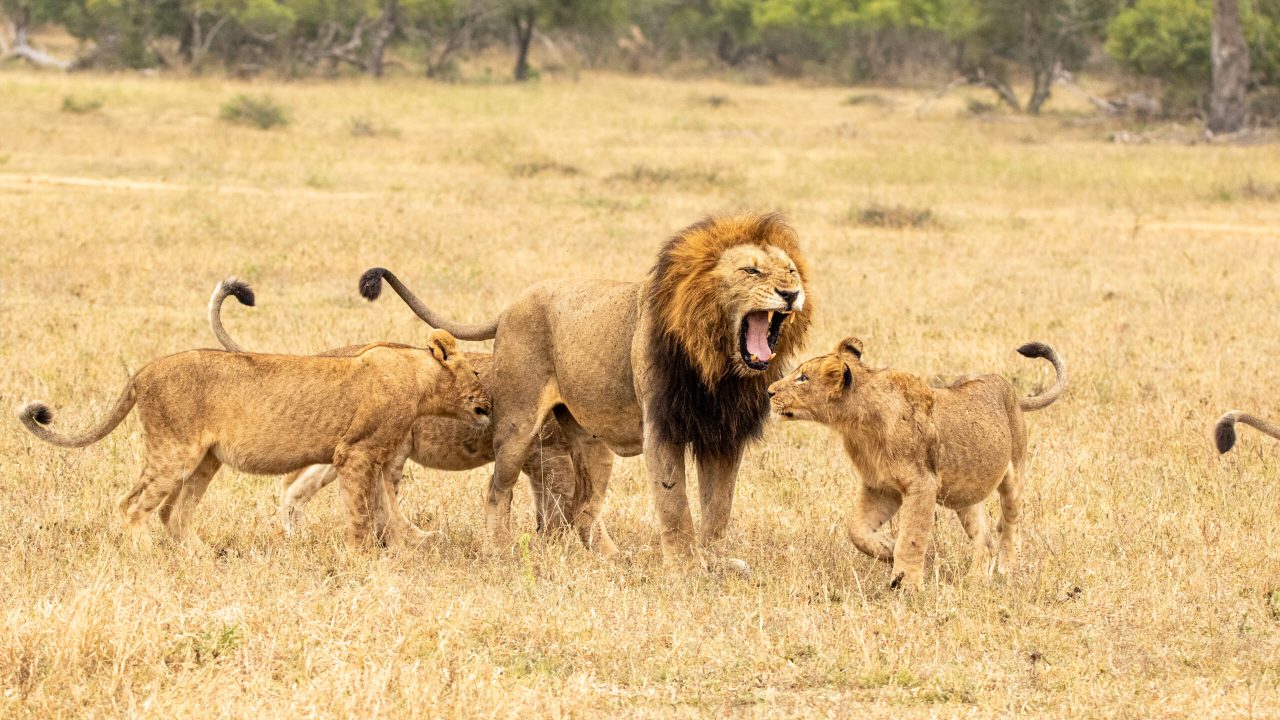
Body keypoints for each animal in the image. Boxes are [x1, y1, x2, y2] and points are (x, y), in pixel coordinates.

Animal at [17, 330, 490, 552]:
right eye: (478, 372)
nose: (492, 400)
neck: (419, 378)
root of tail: (142, 371)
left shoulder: (378, 457)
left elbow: (383, 508)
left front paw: (399, 547)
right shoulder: (355, 453)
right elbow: (361, 513)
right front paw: (363, 558)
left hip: (205, 459)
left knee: (174, 511)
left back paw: (200, 557)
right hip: (174, 450)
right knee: (132, 506)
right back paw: (147, 556)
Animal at [207, 278, 614, 554]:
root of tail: (331, 355)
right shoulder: (547, 454)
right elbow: (564, 502)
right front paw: (567, 545)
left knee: (297, 484)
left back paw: (297, 535)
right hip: (390, 447)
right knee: (371, 496)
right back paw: (411, 540)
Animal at [359, 213, 813, 569]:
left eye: (790, 271)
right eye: (751, 271)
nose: (791, 294)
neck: (718, 365)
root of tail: (509, 308)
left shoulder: (722, 436)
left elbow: (719, 507)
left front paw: (716, 561)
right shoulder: (661, 429)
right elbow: (676, 505)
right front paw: (685, 567)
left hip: (592, 444)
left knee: (582, 508)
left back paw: (614, 560)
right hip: (518, 425)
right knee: (496, 489)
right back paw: (498, 552)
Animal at [768, 338, 1067, 589]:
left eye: (803, 378)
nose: (769, 392)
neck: (857, 423)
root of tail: (1012, 393)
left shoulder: (922, 485)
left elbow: (911, 538)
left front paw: (906, 584)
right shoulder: (881, 487)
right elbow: (857, 530)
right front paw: (887, 550)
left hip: (1013, 477)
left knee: (1008, 527)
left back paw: (1006, 570)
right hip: (964, 495)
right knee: (984, 540)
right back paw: (975, 581)